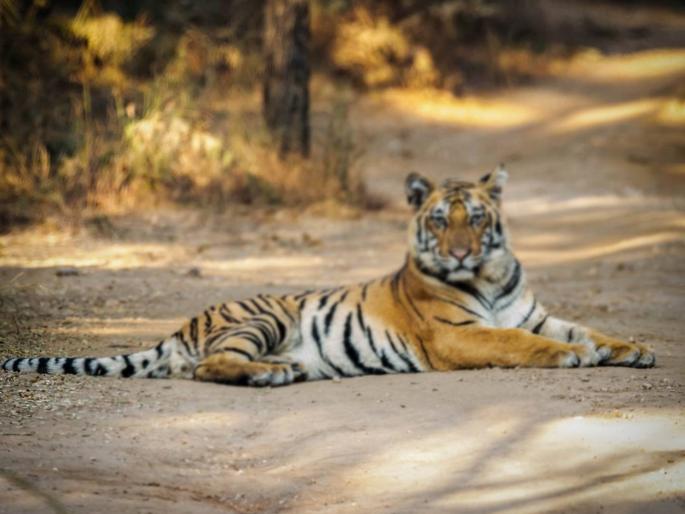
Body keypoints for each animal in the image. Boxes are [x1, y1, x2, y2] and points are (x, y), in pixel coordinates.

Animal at [2, 166, 655, 386]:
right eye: (439, 220)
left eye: (476, 219)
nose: (461, 253)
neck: (490, 277)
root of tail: (183, 325)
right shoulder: (456, 334)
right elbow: (517, 341)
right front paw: (570, 357)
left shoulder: (537, 313)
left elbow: (586, 329)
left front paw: (633, 347)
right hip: (262, 316)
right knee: (207, 366)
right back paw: (271, 375)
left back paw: (286, 370)